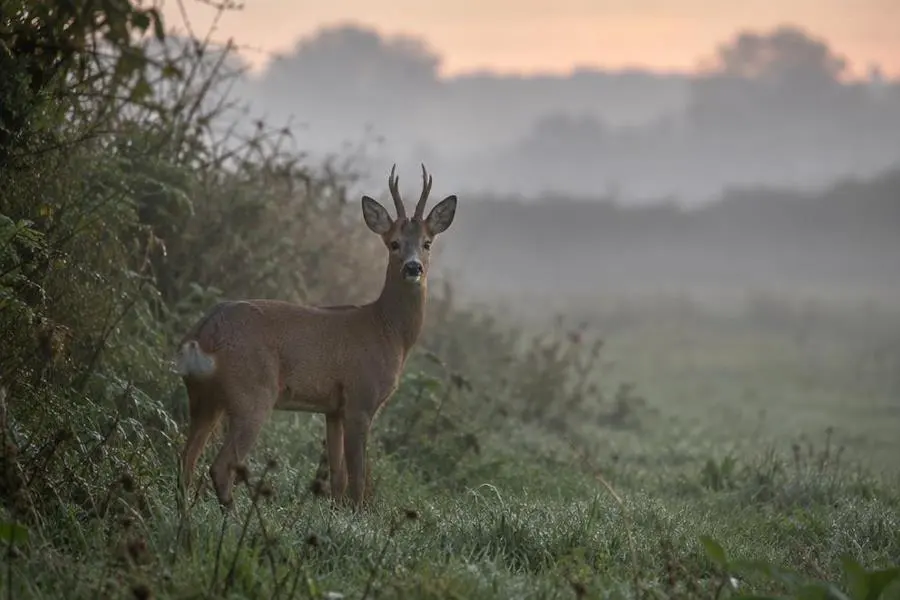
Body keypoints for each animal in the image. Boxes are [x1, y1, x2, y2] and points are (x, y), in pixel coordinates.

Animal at [174, 164, 457, 509]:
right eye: (393, 243)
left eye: (427, 242)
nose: (413, 267)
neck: (387, 330)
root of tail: (203, 332)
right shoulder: (361, 399)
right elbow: (357, 478)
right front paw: (358, 516)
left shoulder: (332, 409)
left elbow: (337, 478)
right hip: (252, 394)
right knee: (219, 465)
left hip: (202, 398)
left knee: (185, 460)